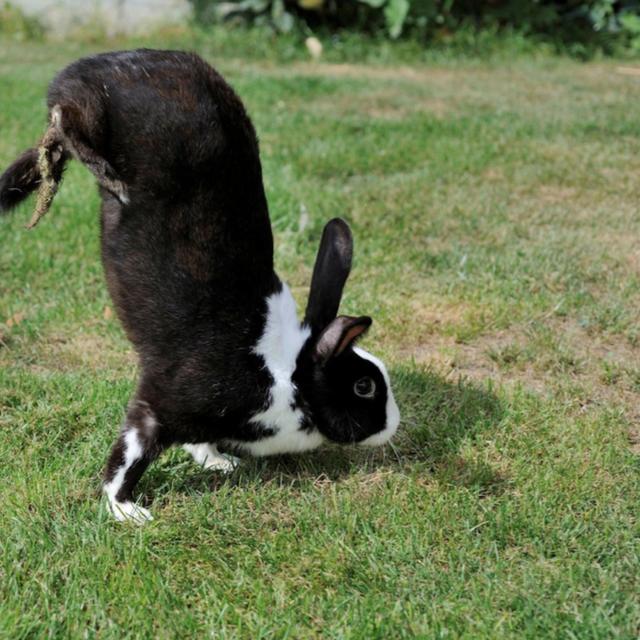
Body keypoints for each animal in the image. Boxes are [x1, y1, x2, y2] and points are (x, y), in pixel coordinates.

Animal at [0, 49, 400, 523]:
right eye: (364, 387)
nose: (393, 425)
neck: (289, 374)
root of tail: (93, 63)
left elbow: (197, 442)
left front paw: (218, 462)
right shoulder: (160, 406)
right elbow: (130, 455)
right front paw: (127, 511)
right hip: (94, 111)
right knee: (67, 119)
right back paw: (105, 172)